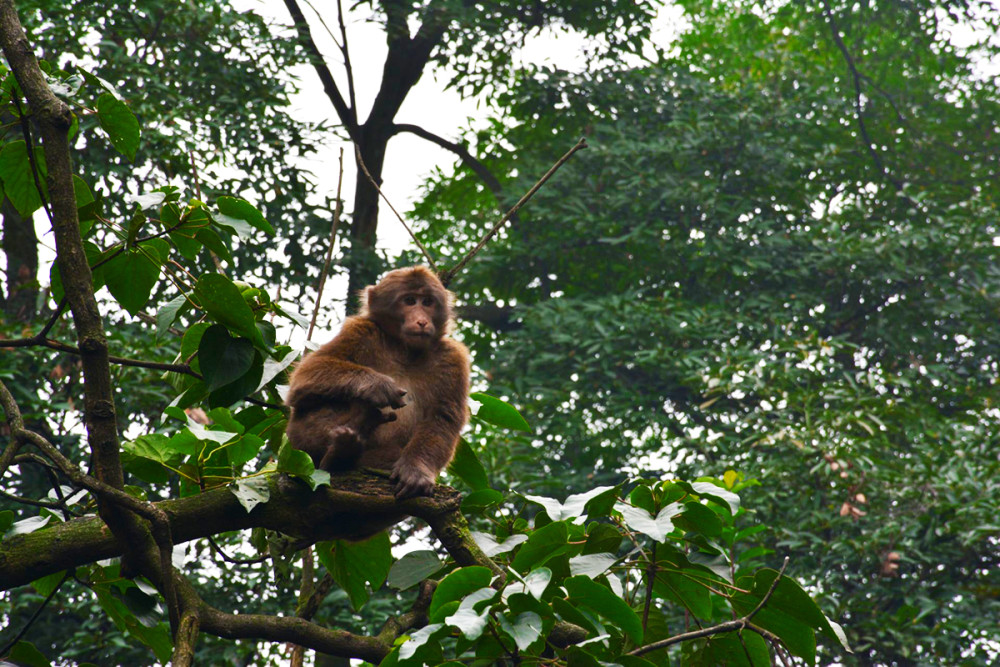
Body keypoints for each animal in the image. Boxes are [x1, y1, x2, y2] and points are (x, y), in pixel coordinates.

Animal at [282, 266, 468, 500]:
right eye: (409, 301)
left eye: (427, 302)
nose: (422, 321)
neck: (405, 350)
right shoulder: (360, 330)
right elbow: (304, 378)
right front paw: (378, 385)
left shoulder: (452, 359)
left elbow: (442, 417)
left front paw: (416, 470)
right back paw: (344, 446)